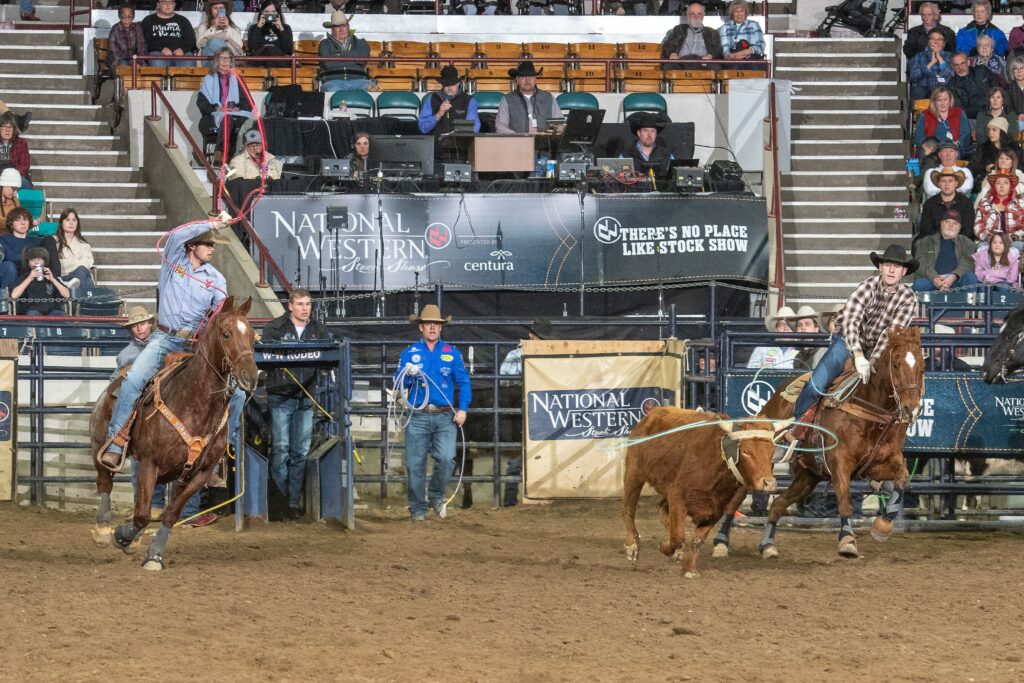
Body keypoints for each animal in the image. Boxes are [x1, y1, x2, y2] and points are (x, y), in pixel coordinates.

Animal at [91, 296, 258, 569]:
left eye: (253, 335)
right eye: (226, 334)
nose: (251, 376)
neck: (194, 402)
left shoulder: (200, 473)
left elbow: (170, 514)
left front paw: (154, 554)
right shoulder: (149, 462)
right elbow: (142, 515)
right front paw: (122, 536)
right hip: (100, 443)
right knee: (105, 479)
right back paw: (104, 529)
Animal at [708, 327, 925, 561]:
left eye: (922, 367)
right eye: (896, 364)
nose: (910, 409)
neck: (871, 414)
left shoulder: (876, 466)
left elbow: (902, 478)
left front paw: (882, 526)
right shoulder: (840, 463)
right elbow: (844, 500)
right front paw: (848, 540)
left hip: (809, 475)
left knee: (778, 504)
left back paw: (767, 545)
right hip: (763, 460)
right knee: (738, 497)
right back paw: (721, 542)